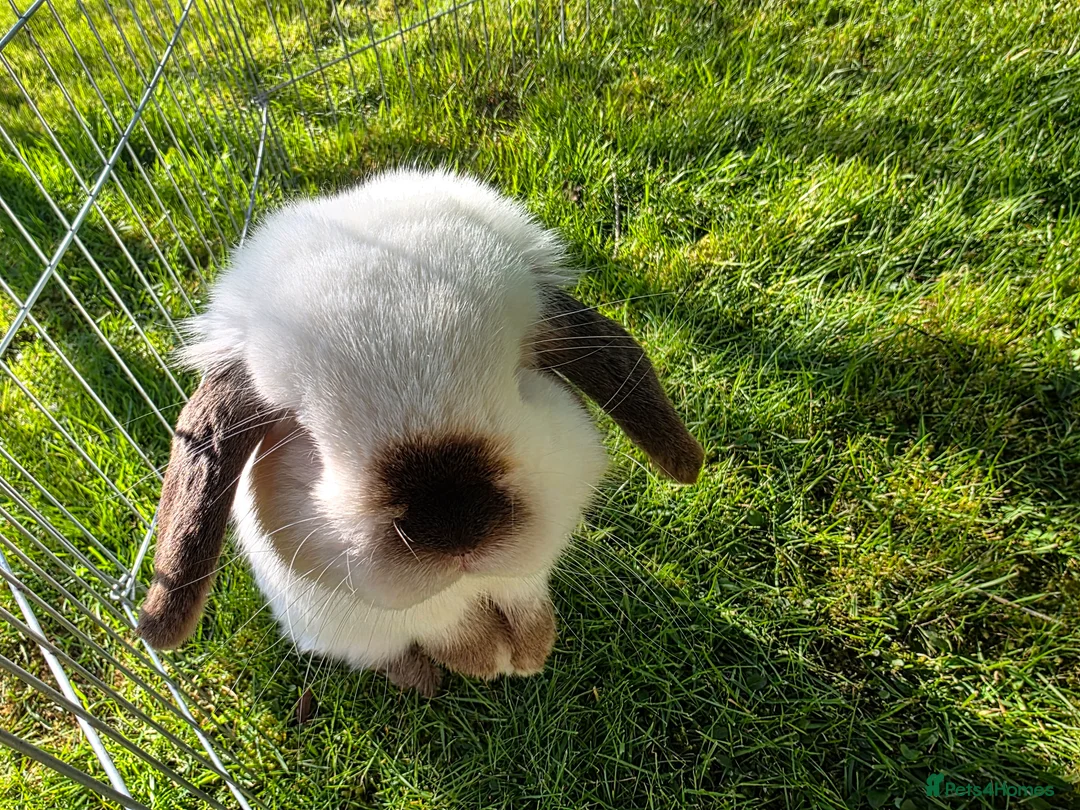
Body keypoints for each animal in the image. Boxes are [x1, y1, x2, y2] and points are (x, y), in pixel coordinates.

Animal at [136, 167, 704, 696]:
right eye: (304, 433)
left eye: (522, 373)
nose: (455, 525)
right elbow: (446, 625)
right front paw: (487, 662)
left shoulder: (530, 561)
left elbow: (521, 592)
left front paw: (532, 650)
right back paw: (419, 678)